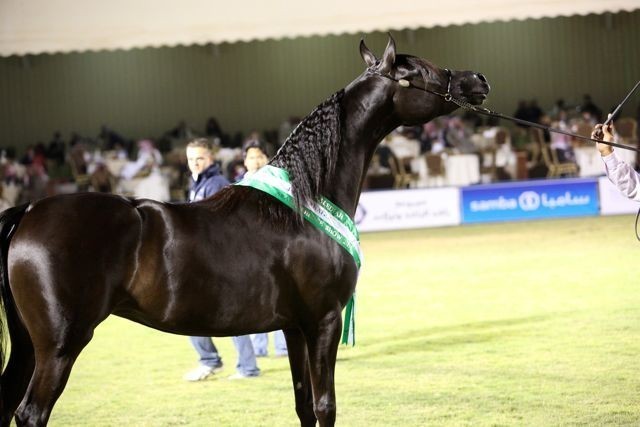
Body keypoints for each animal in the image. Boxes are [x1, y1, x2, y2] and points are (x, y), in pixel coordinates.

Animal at [0, 35, 490, 426]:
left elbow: (304, 406)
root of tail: (30, 209)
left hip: (28, 346)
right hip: (60, 345)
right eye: (422, 70)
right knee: (31, 412)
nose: (478, 80)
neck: (304, 201)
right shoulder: (324, 319)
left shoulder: (294, 327)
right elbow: (326, 406)